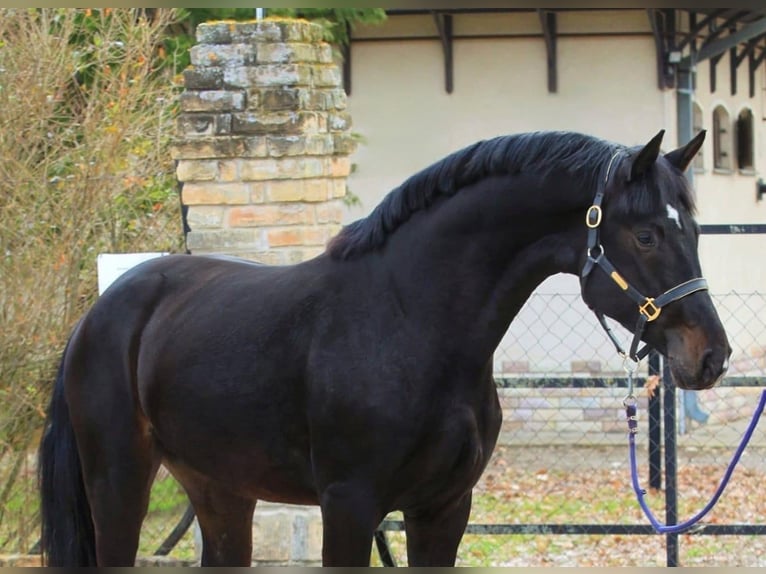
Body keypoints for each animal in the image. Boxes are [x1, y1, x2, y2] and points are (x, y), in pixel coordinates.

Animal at [37, 129, 732, 568]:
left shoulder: (442, 509)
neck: (410, 324)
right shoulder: (349, 508)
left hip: (218, 489)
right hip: (119, 483)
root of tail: (99, 314)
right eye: (646, 234)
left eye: (695, 231)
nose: (713, 356)